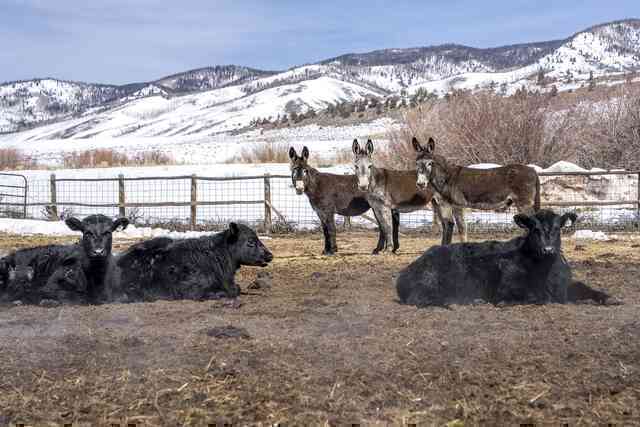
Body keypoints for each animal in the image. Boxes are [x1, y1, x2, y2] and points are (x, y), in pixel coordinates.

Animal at [396, 211, 616, 308]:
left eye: (557, 228)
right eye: (534, 229)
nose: (548, 249)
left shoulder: (564, 286)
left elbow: (584, 288)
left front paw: (609, 298)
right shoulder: (507, 290)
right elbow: (536, 297)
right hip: (429, 281)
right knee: (421, 299)